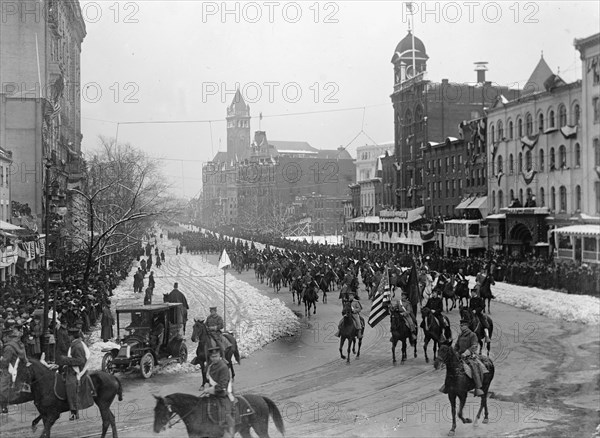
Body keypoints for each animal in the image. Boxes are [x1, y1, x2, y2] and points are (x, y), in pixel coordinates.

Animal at [154, 392, 288, 438]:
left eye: (160, 410)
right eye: (155, 409)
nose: (155, 429)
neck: (195, 412)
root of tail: (261, 398)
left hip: (260, 428)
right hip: (244, 430)